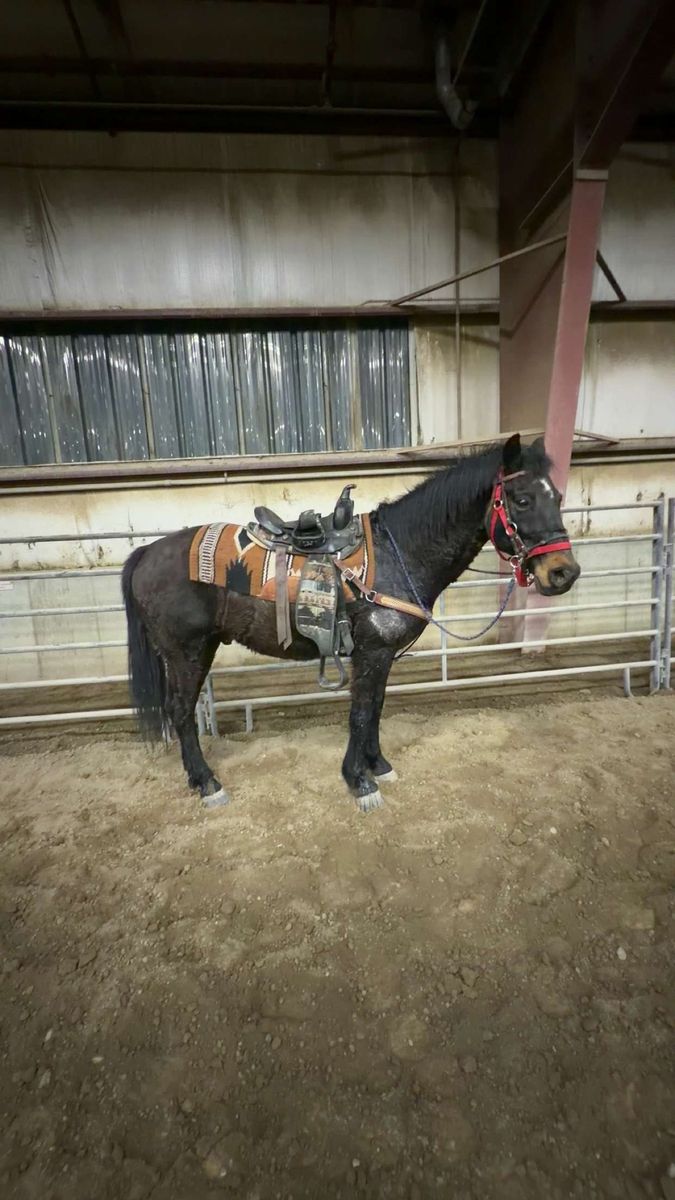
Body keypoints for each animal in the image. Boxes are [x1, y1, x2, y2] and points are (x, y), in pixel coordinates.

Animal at [122, 434, 580, 811]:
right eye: (522, 500)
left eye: (557, 496)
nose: (564, 573)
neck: (400, 552)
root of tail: (147, 552)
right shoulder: (372, 652)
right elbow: (360, 713)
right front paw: (359, 782)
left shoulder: (382, 655)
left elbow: (375, 707)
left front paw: (379, 765)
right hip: (187, 651)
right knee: (180, 711)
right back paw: (207, 784)